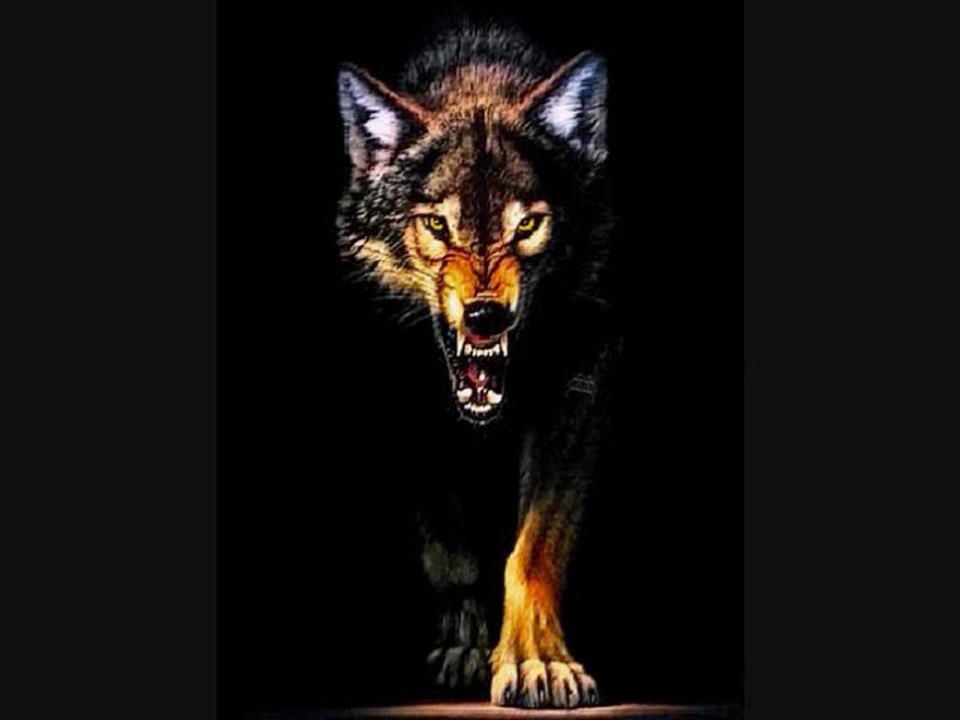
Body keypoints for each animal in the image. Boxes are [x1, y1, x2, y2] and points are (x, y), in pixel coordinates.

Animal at [335, 22, 618, 708]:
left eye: (529, 225)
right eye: (438, 226)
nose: (487, 316)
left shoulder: (583, 382)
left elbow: (535, 548)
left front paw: (540, 662)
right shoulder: (403, 400)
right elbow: (451, 550)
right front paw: (466, 647)